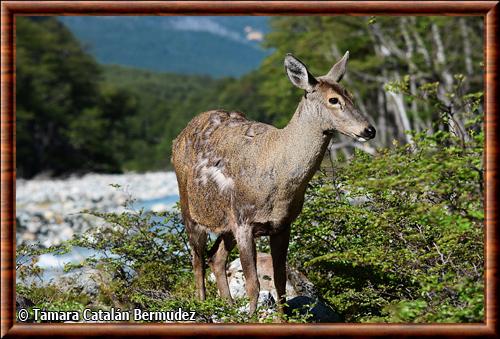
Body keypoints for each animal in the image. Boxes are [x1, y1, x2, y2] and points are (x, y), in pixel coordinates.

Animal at [172, 52, 376, 316]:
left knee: (215, 257)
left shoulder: (282, 224)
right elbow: (253, 284)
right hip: (190, 208)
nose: (369, 130)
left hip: (226, 223)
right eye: (333, 99)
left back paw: (228, 306)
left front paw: (281, 317)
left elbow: (280, 281)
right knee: (197, 259)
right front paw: (252, 316)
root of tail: (179, 137)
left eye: (350, 94)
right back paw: (202, 305)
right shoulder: (244, 221)